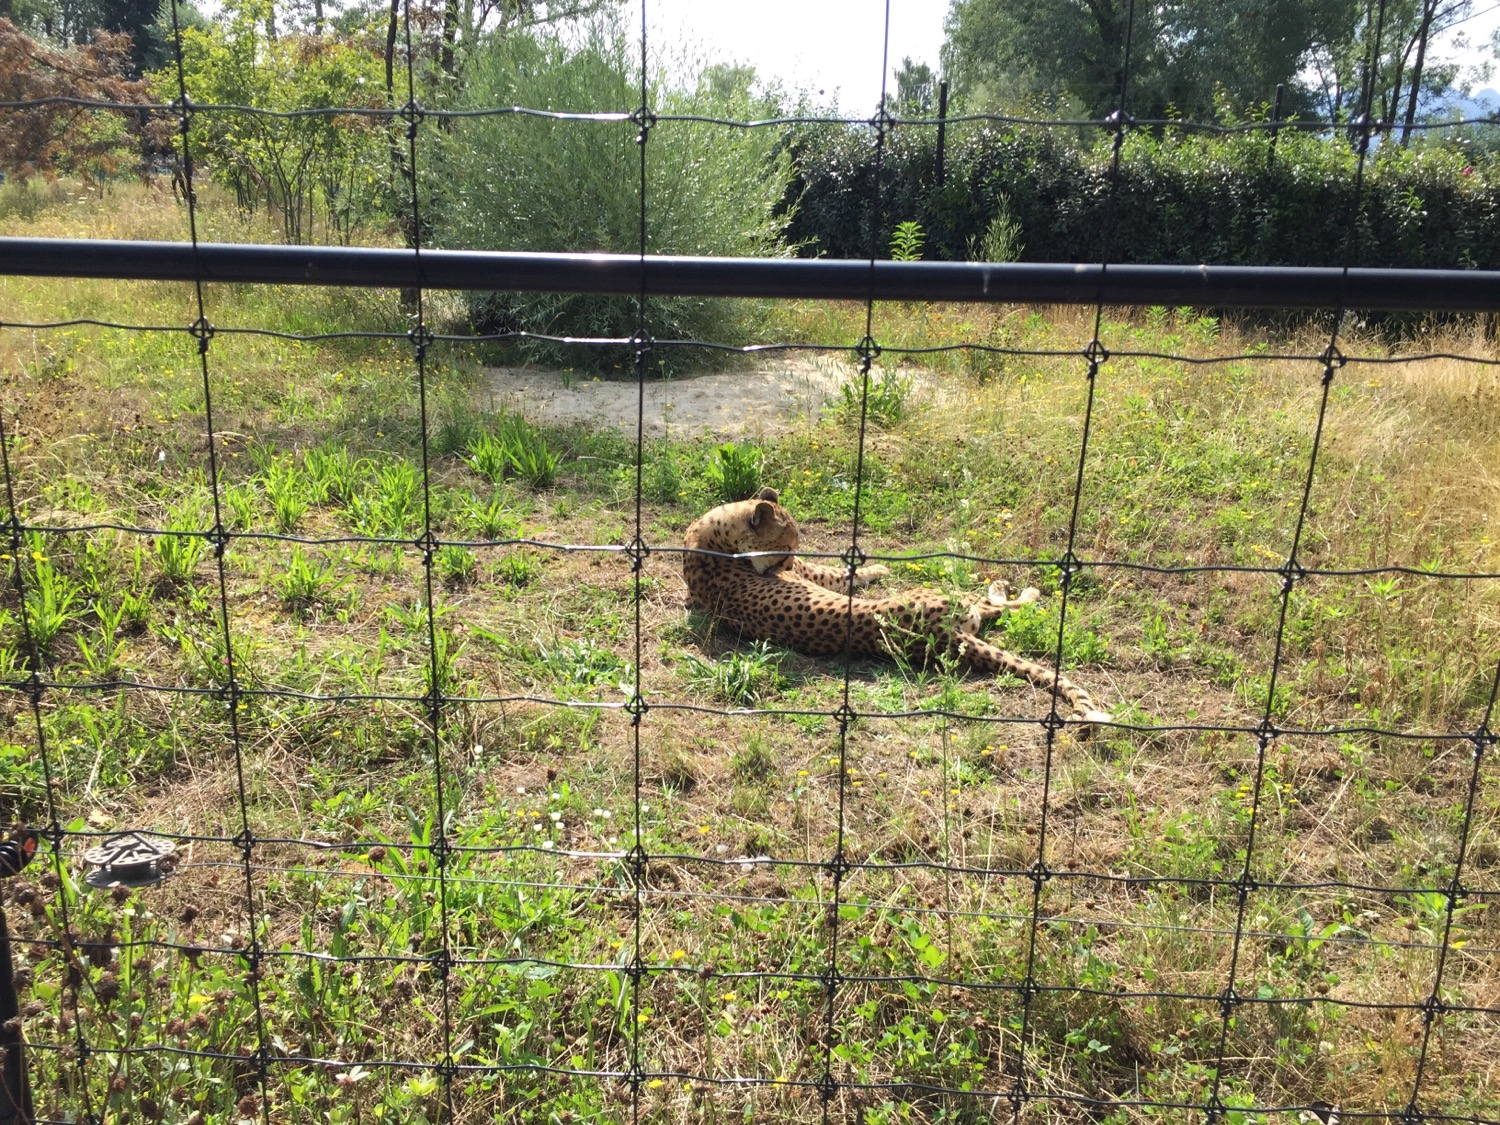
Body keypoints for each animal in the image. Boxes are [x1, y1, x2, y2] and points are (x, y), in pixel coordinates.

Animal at [682, 487, 1111, 729]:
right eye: (785, 547)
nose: (784, 567)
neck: (710, 536)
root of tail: (938, 639)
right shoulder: (817, 574)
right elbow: (840, 572)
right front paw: (879, 567)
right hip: (949, 600)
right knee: (996, 606)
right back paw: (1015, 588)